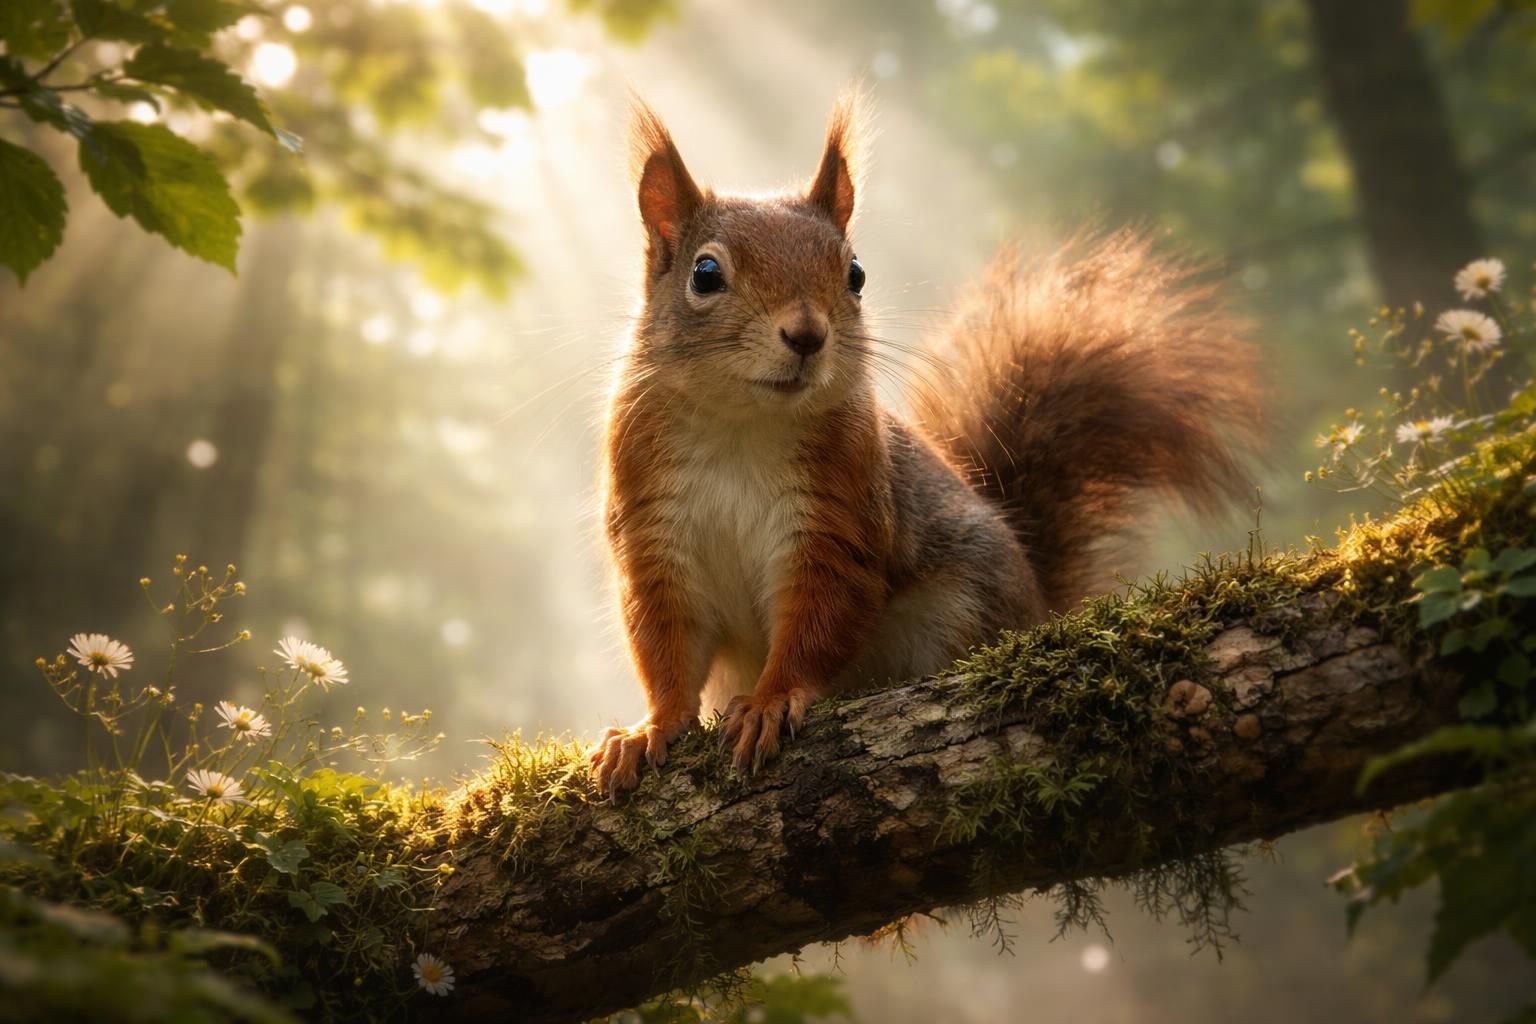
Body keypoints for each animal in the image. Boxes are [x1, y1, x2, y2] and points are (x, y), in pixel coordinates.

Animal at [589, 92, 1261, 795]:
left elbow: (819, 622)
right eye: (706, 273)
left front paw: (771, 702)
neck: (742, 425)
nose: (806, 335)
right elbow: (665, 642)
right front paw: (649, 728)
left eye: (856, 273)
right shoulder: (652, 530)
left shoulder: (839, 518)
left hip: (961, 604)